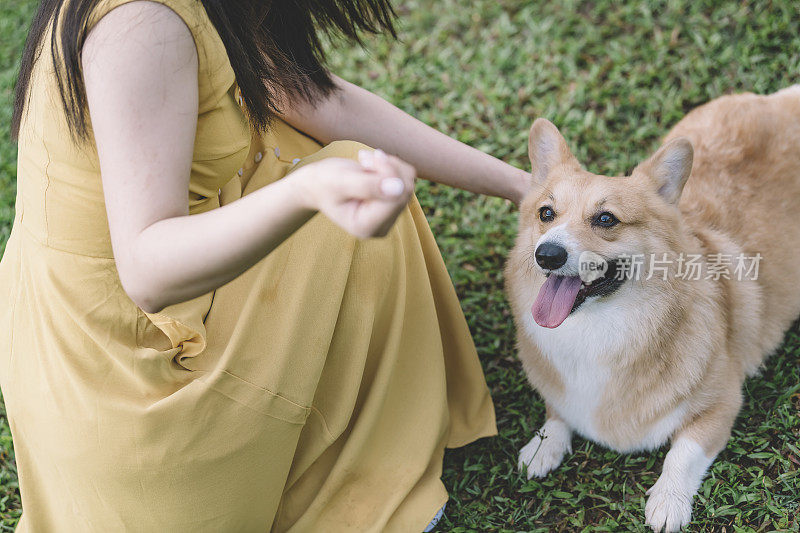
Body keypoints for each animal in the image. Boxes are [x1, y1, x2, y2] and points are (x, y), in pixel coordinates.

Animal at [506, 85, 800, 528]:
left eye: (606, 219)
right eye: (546, 213)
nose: (547, 254)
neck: (600, 327)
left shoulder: (722, 403)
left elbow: (683, 453)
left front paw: (668, 501)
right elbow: (558, 411)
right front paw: (544, 444)